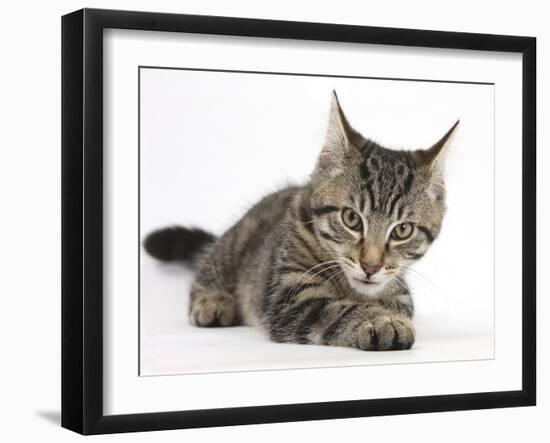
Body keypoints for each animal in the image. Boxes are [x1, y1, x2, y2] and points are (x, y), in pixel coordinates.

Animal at [144, 92, 460, 352]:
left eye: (402, 230)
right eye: (351, 219)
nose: (370, 266)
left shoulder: (402, 295)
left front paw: (386, 314)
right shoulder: (292, 298)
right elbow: (340, 309)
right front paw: (381, 322)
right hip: (236, 242)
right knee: (207, 266)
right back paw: (213, 301)